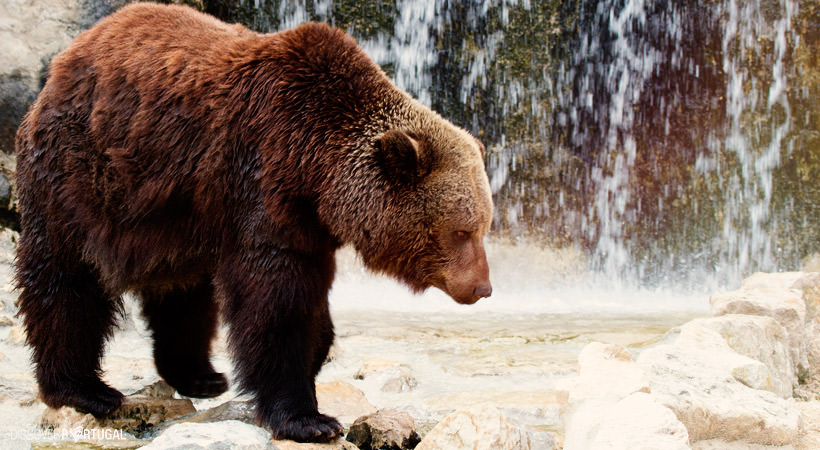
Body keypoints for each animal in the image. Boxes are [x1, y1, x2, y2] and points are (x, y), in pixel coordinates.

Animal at [14, 2, 493, 443]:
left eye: (483, 226)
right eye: (461, 231)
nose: (483, 288)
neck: (315, 169)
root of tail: (69, 56)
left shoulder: (303, 223)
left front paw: (314, 361)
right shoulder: (262, 180)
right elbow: (275, 302)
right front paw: (308, 418)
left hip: (176, 210)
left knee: (185, 293)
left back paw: (199, 374)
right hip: (80, 172)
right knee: (66, 279)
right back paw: (83, 389)